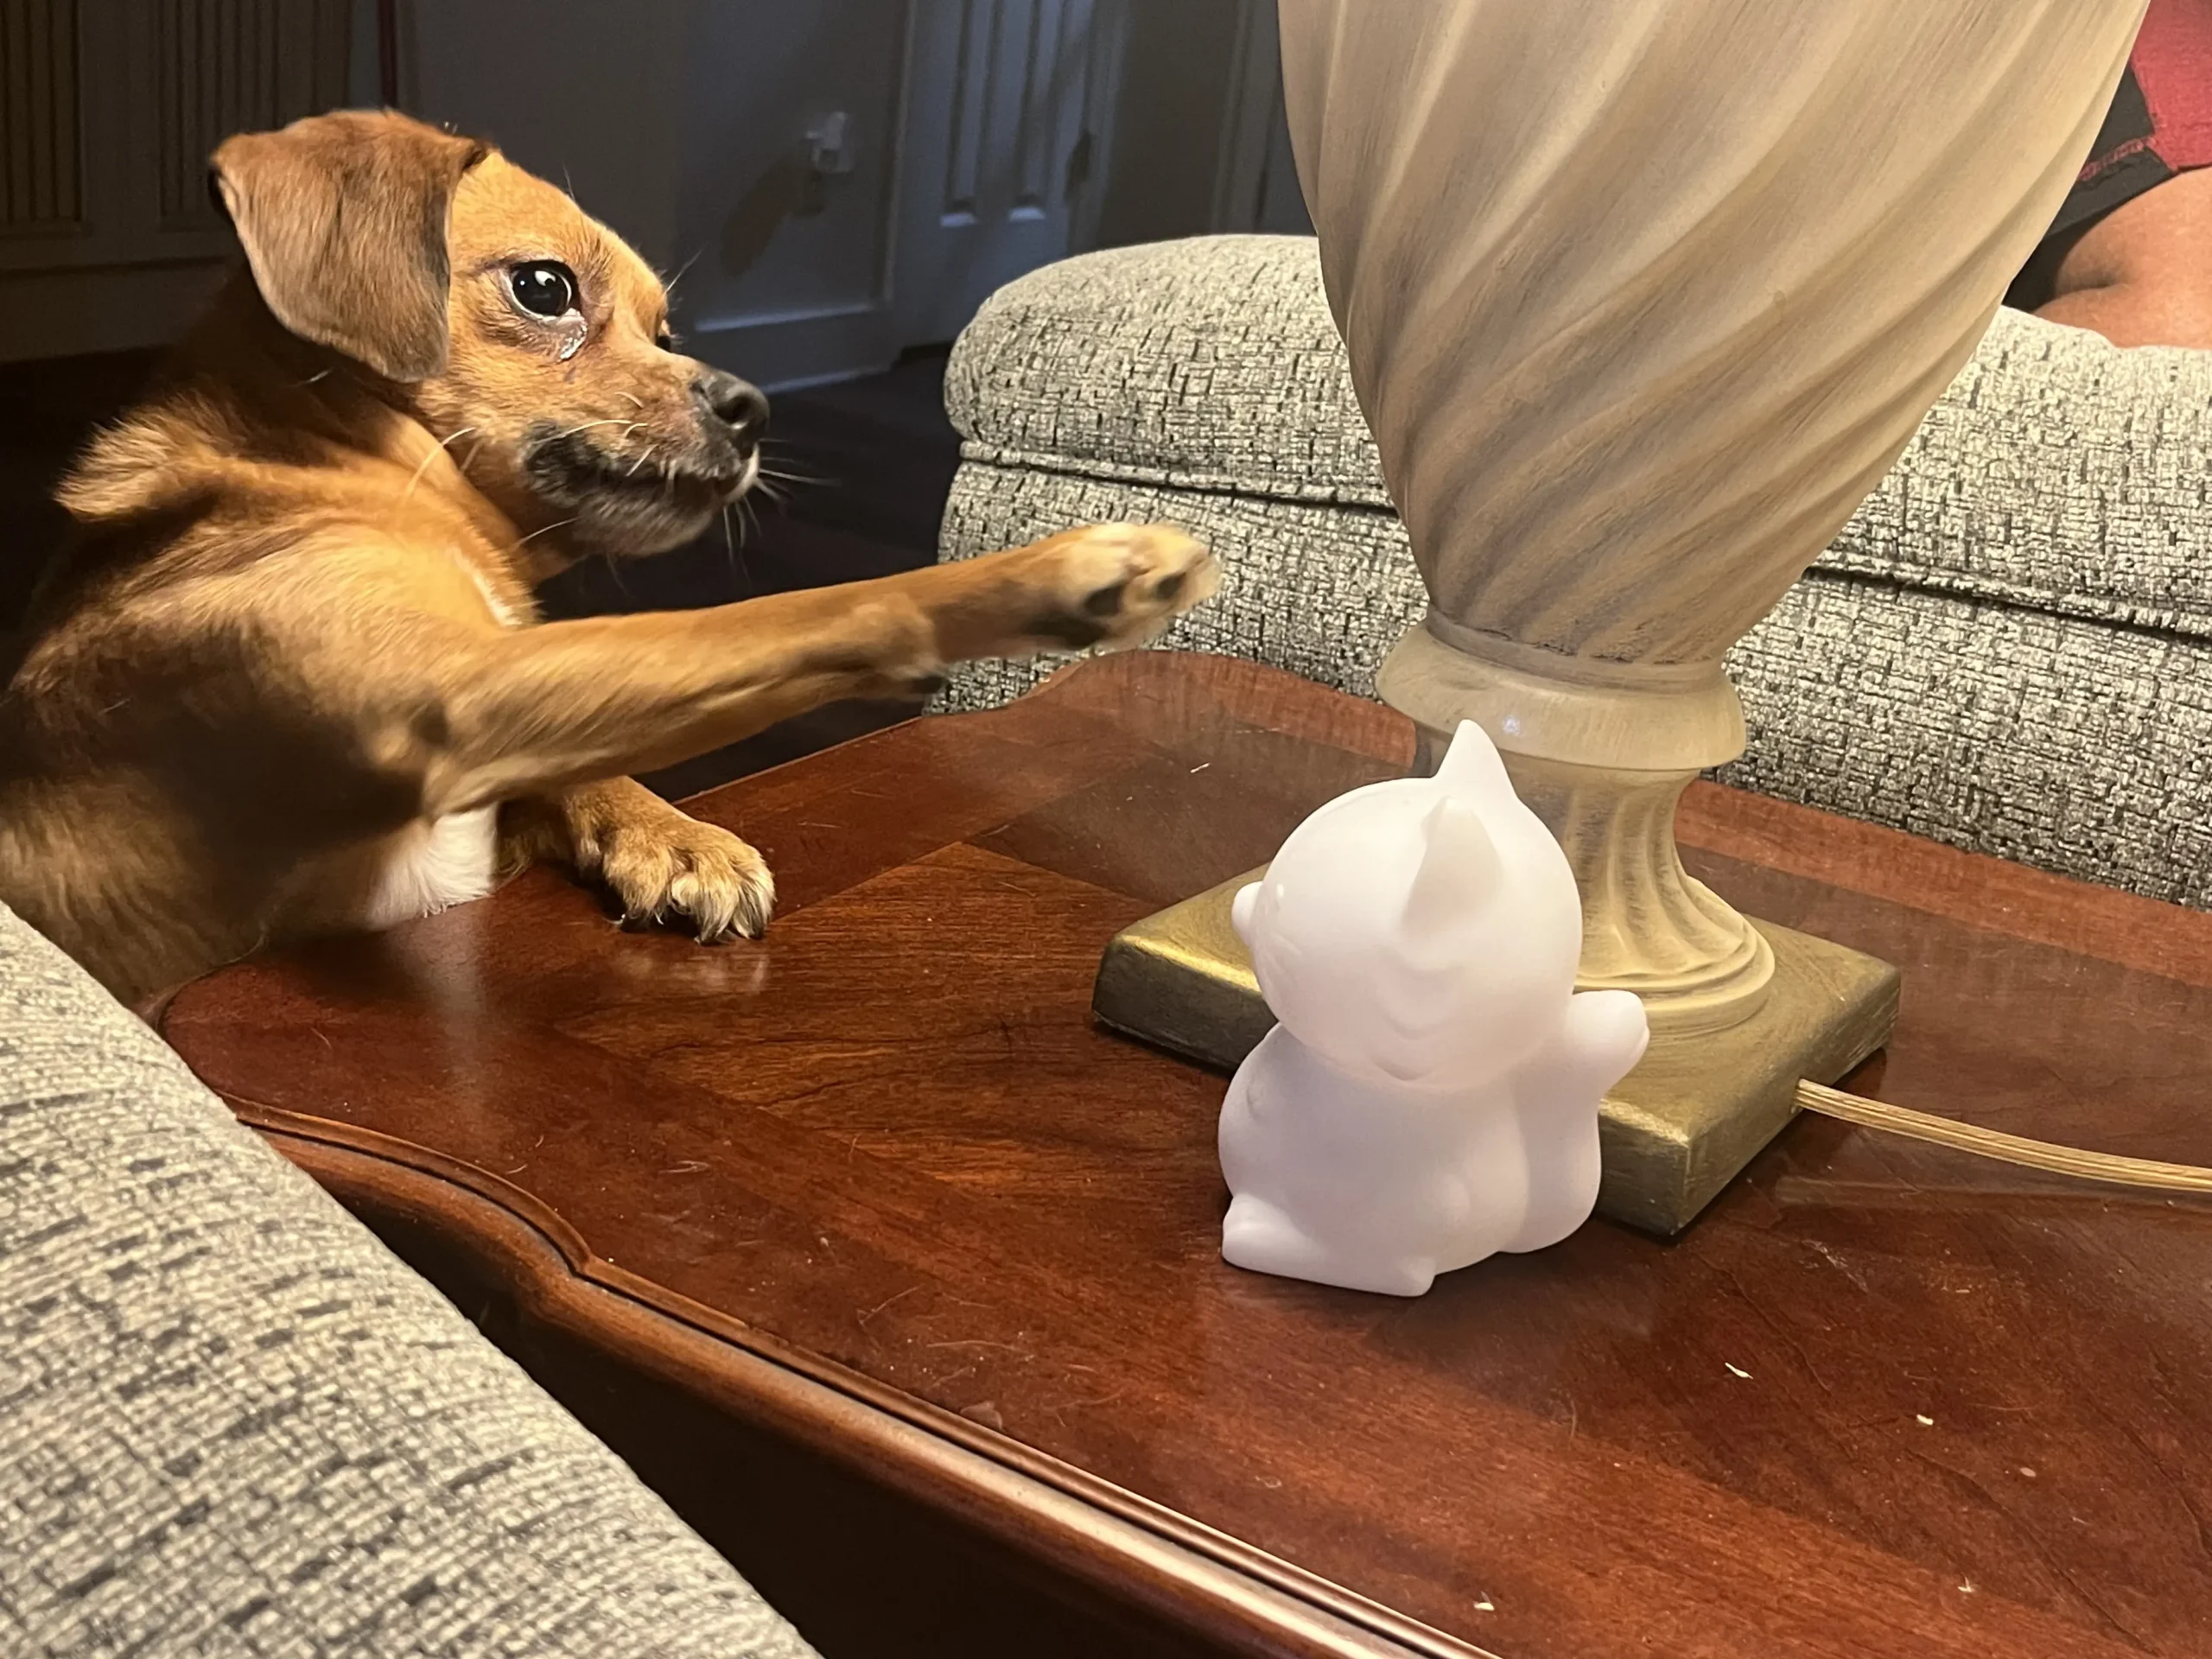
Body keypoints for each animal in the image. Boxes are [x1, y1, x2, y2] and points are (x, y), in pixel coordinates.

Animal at [0, 110, 1216, 1008]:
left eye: (665, 329)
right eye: (545, 288)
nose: (755, 407)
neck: (343, 472)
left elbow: (601, 752)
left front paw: (674, 839)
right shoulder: (447, 705)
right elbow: (779, 614)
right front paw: (1043, 576)